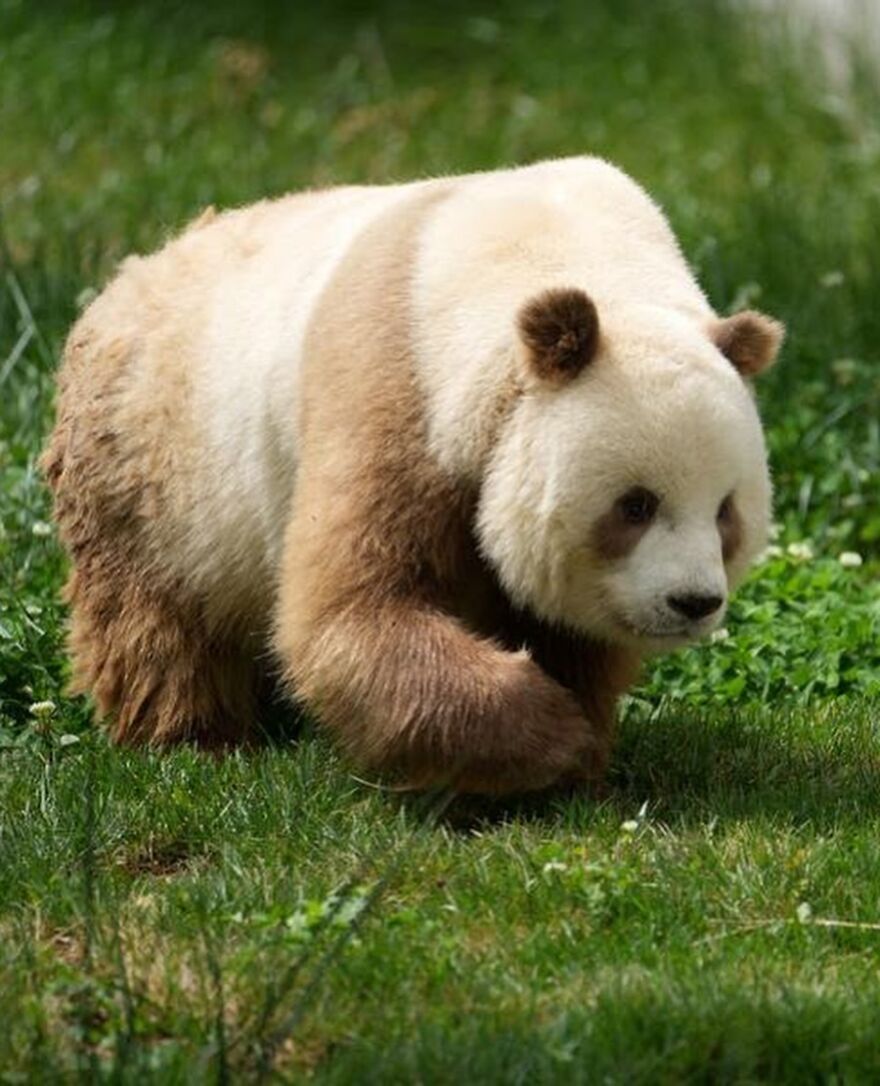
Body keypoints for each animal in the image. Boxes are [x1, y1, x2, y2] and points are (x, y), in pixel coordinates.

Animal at [43, 156, 783, 794]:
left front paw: (577, 752)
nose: (693, 602)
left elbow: (569, 634)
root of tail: (129, 273)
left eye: (725, 510)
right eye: (635, 505)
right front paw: (547, 736)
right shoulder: (397, 378)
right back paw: (194, 738)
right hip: (151, 466)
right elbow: (352, 608)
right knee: (155, 623)